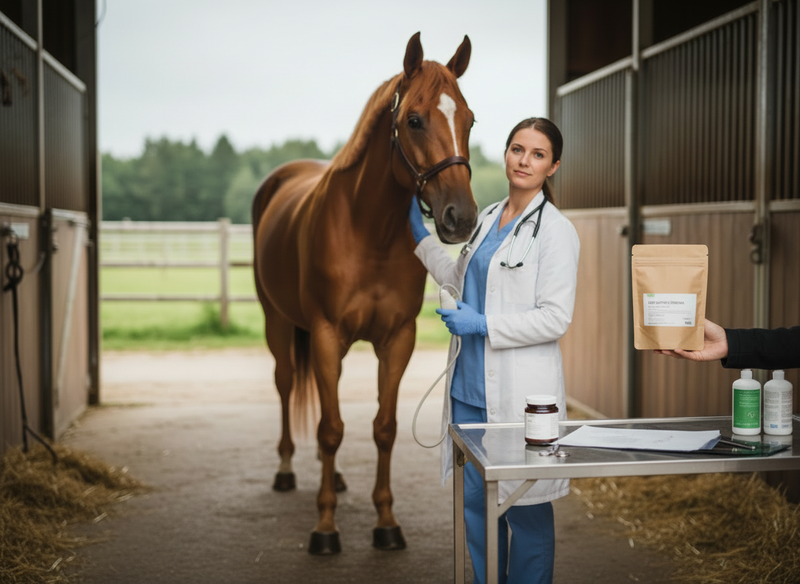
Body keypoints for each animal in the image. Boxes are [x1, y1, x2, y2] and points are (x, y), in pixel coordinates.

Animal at [251, 32, 478, 555]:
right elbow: (332, 429)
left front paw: (386, 523)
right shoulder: (325, 334)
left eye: (470, 119)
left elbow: (383, 428)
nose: (461, 218)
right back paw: (287, 470)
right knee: (286, 385)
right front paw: (325, 528)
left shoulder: (397, 339)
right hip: (278, 323)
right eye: (414, 120)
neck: (368, 229)